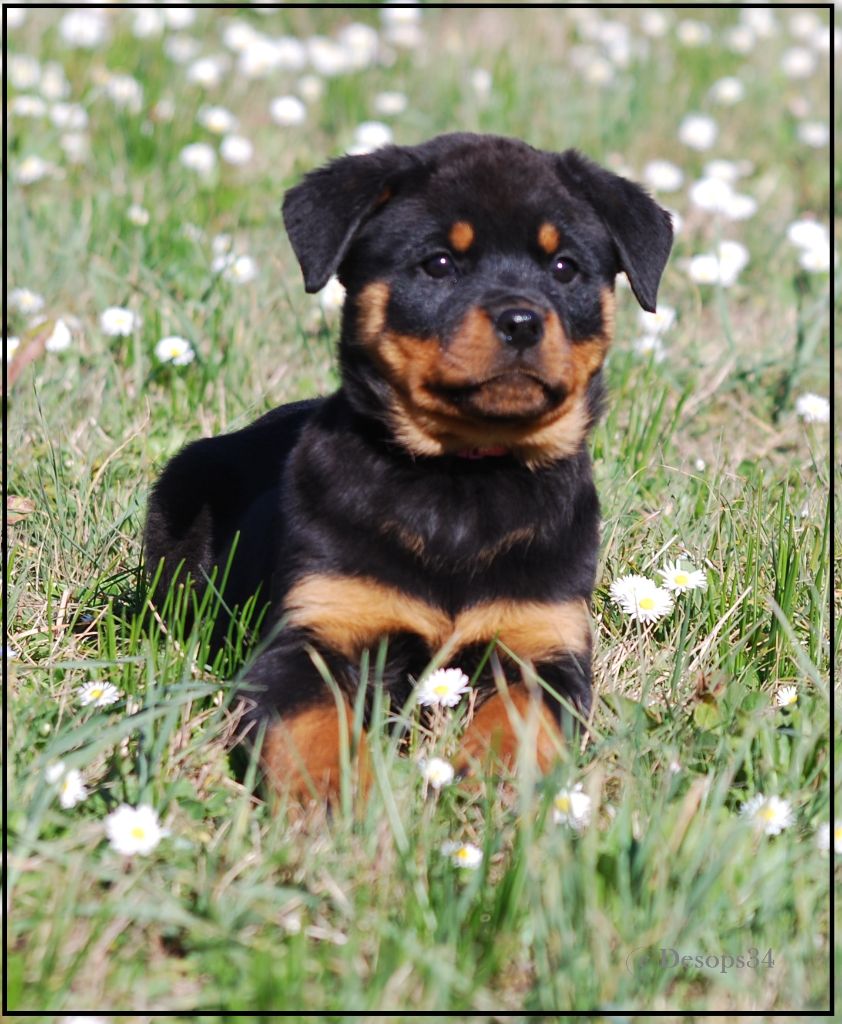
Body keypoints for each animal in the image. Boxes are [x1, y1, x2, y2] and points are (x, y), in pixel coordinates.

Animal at [144, 132, 673, 802]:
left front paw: (494, 779)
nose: (522, 320)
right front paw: (335, 794)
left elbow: (525, 714)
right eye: (439, 264)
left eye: (564, 268)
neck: (463, 477)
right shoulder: (313, 629)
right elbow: (313, 719)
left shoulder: (545, 641)